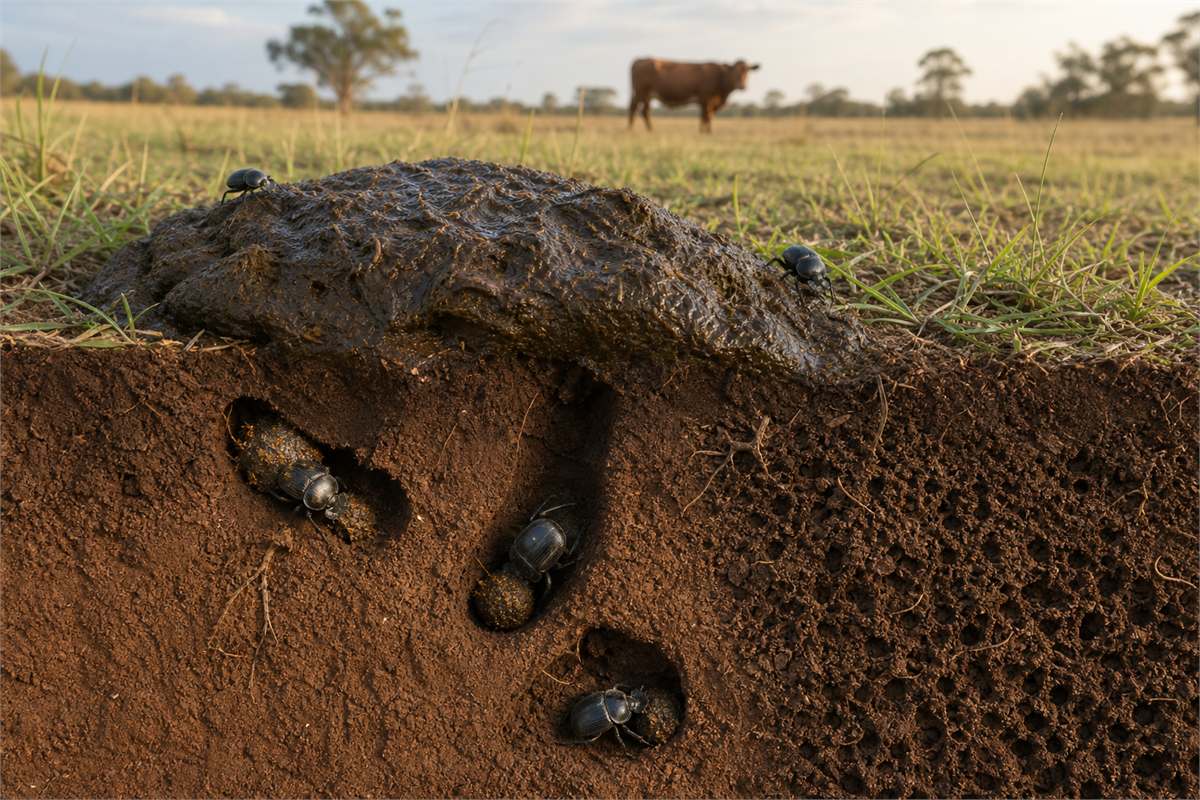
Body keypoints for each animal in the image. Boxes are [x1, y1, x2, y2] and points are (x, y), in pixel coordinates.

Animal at [629, 58, 760, 133]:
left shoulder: (706, 101)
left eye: (747, 71)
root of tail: (638, 60)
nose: (742, 86)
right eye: (735, 71)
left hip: (644, 95)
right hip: (642, 92)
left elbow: (705, 116)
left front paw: (703, 131)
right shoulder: (707, 98)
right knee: (639, 110)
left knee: (639, 110)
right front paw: (707, 132)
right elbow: (708, 115)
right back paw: (644, 130)